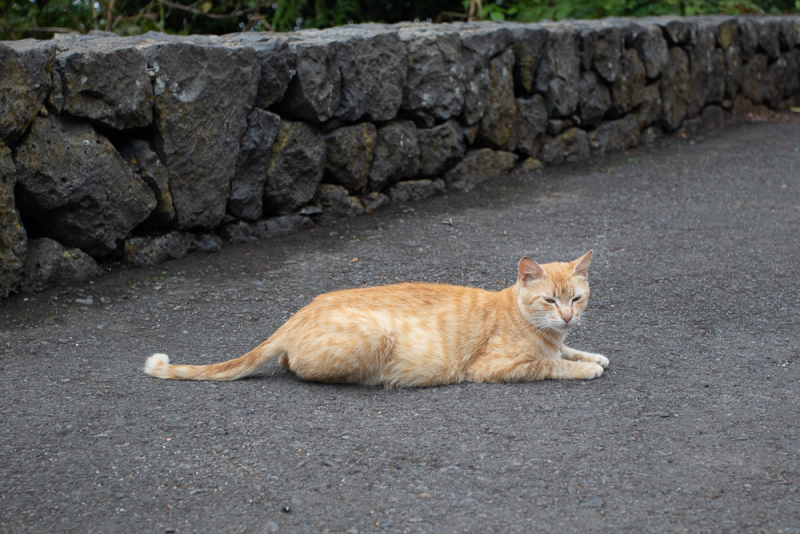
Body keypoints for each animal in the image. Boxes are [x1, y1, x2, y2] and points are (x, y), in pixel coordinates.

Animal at [144, 251, 608, 390]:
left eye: (576, 298)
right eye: (549, 300)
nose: (567, 316)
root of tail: (299, 312)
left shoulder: (560, 339)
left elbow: (568, 349)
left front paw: (592, 355)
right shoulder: (495, 367)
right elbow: (550, 365)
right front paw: (584, 368)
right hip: (373, 336)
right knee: (301, 368)